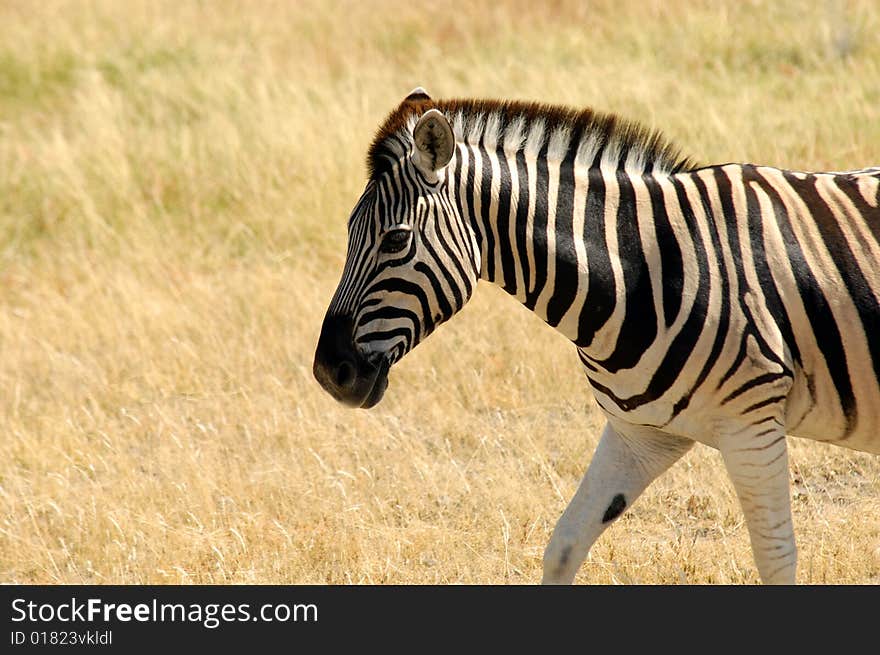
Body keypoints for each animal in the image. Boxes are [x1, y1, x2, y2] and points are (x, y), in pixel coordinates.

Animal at [314, 87, 880, 584]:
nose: (327, 373)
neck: (647, 266)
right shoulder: (640, 434)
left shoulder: (752, 424)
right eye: (348, 233)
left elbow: (776, 560)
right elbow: (564, 545)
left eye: (396, 240)